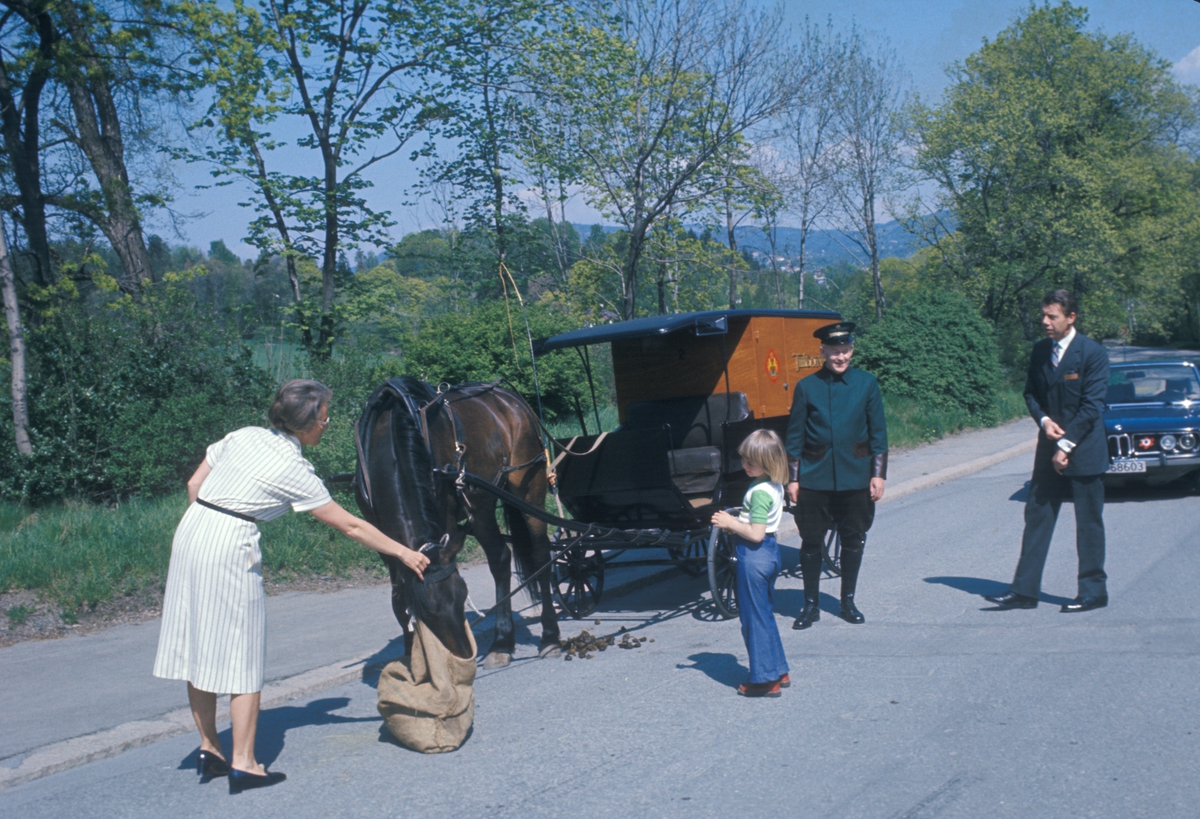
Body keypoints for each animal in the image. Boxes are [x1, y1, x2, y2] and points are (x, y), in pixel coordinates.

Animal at [352, 374, 564, 662]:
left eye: (463, 596)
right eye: (426, 614)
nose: (463, 654)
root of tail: (509, 397)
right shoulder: (381, 536)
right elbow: (398, 597)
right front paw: (411, 658)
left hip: (525, 490)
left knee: (538, 556)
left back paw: (546, 636)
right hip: (482, 503)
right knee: (500, 558)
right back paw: (503, 641)